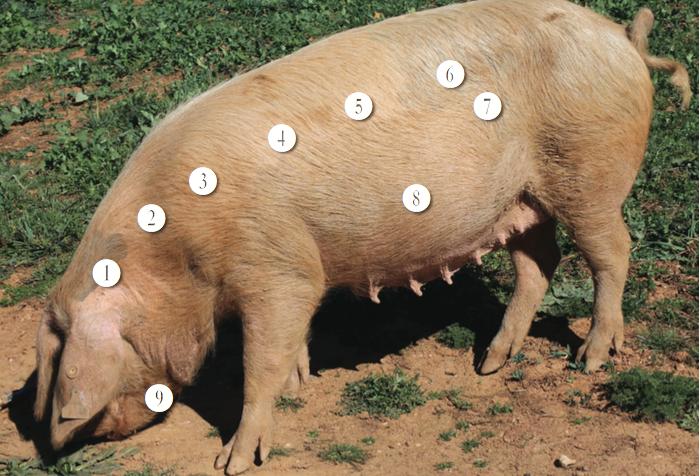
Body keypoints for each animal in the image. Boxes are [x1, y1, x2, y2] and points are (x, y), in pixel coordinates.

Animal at [35, 0, 691, 473]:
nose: (54, 445)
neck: (176, 255)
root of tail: (622, 39)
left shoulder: (276, 267)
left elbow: (259, 357)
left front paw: (233, 462)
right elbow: (287, 344)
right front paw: (300, 382)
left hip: (589, 174)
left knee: (613, 253)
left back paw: (591, 359)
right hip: (525, 200)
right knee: (541, 263)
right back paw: (489, 364)